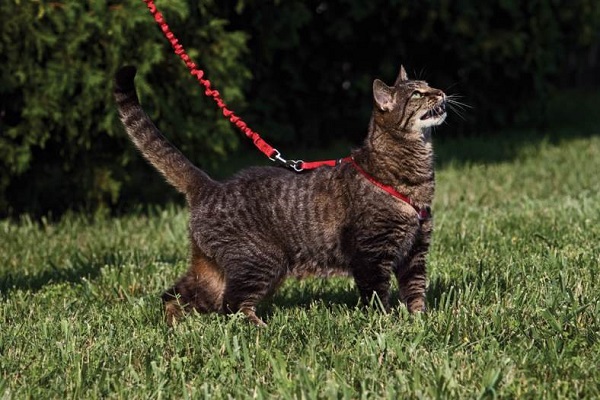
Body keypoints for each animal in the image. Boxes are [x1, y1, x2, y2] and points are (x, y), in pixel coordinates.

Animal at [115, 65, 448, 326]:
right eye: (417, 94)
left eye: (429, 85)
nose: (442, 91)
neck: (413, 176)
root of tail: (211, 186)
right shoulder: (372, 254)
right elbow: (378, 296)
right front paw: (388, 324)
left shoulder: (415, 251)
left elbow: (416, 292)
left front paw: (419, 322)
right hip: (261, 260)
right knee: (231, 306)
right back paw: (259, 328)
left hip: (211, 271)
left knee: (176, 295)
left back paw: (175, 326)